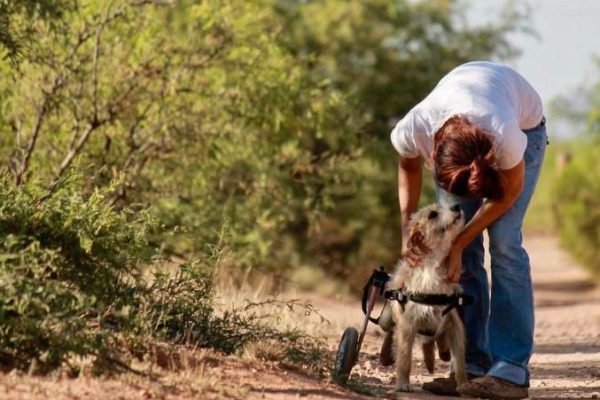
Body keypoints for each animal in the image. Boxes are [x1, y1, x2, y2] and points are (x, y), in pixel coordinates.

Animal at [390, 205, 468, 392]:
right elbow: (405, 357)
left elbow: (460, 360)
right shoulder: (407, 325)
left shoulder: (454, 323)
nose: (456, 206)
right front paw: (402, 383)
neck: (432, 266)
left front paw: (464, 384)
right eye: (432, 214)